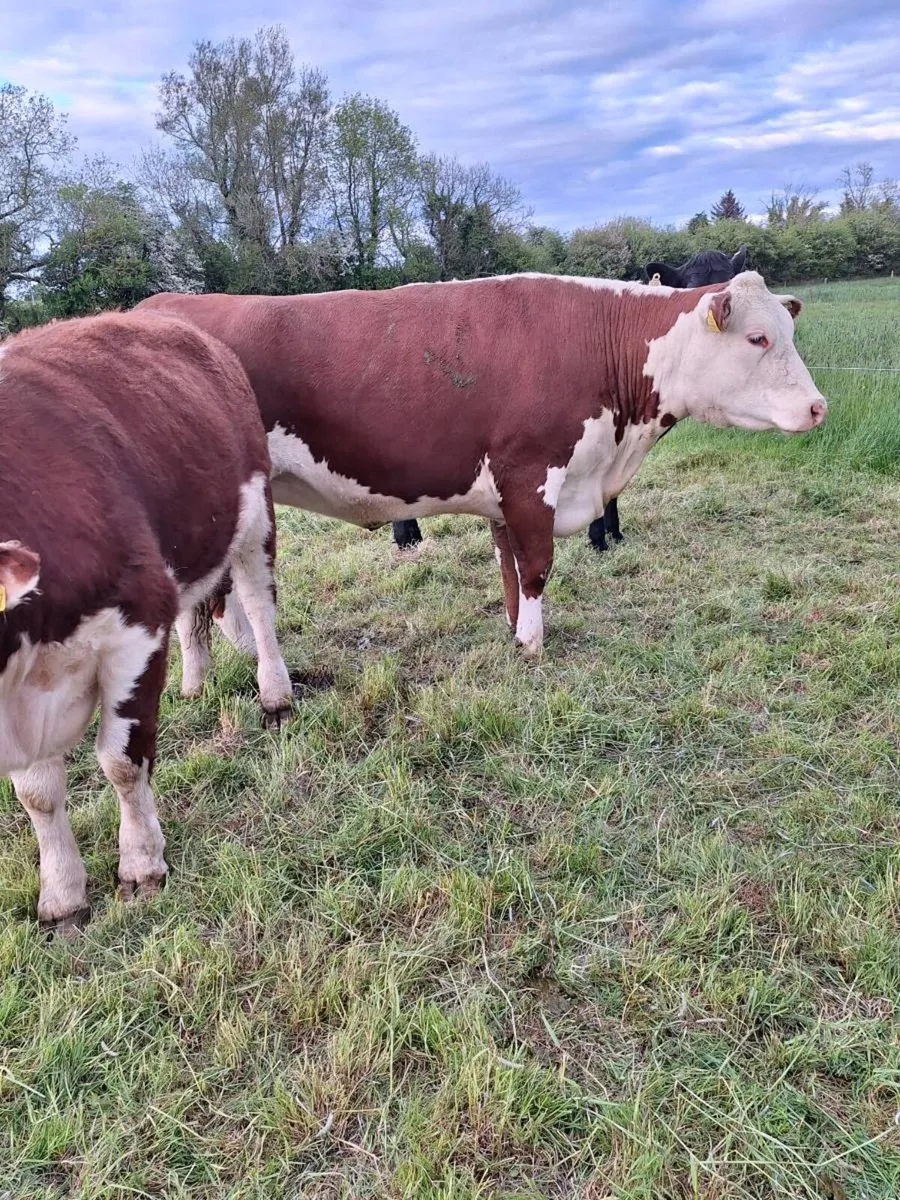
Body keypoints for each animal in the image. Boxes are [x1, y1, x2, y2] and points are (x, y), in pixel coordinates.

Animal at [0, 311, 293, 932]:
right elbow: (37, 793)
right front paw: (62, 895)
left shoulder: (135, 625)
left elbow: (121, 760)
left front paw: (141, 865)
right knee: (191, 619)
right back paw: (194, 684)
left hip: (255, 512)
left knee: (258, 606)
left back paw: (276, 694)